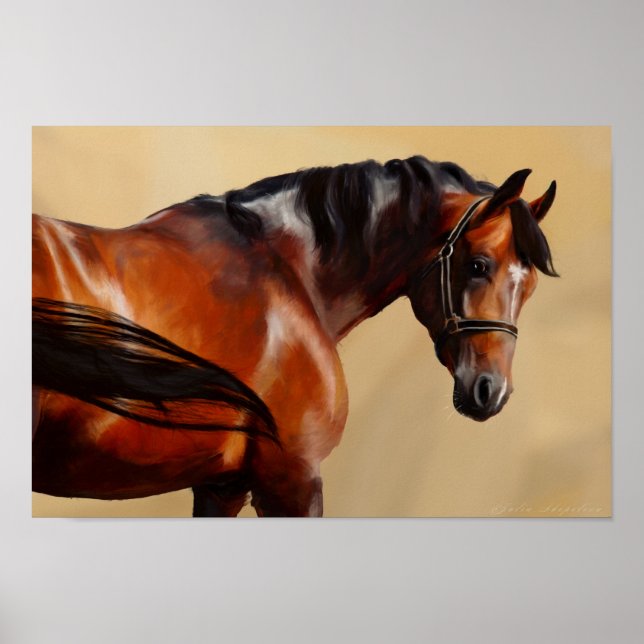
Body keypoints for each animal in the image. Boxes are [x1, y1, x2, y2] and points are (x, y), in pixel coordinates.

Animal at [32, 155, 558, 517]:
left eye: (530, 285)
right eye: (478, 266)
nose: (491, 391)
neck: (285, 271)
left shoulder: (223, 485)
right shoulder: (291, 479)